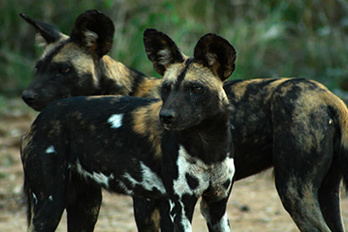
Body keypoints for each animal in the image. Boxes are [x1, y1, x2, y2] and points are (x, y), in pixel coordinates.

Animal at [21, 29, 237, 231]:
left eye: (196, 89)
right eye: (166, 88)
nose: (165, 116)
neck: (208, 147)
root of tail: (41, 116)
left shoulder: (217, 208)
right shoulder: (178, 208)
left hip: (86, 207)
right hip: (50, 205)